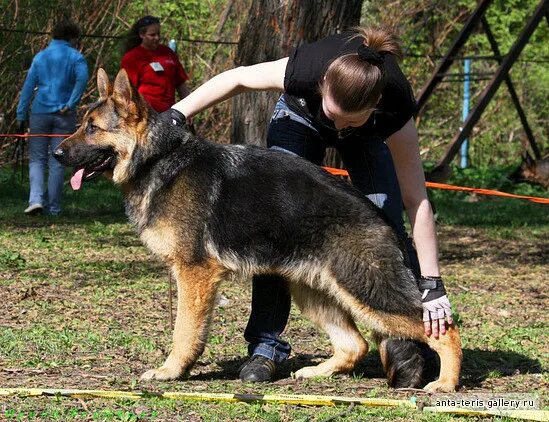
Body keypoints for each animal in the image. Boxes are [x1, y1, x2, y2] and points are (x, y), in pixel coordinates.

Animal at [55, 69, 460, 392]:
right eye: (80, 124)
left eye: (93, 128)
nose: (57, 154)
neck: (158, 159)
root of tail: (378, 214)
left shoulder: (194, 274)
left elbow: (184, 331)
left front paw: (172, 371)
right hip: (311, 291)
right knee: (354, 345)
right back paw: (317, 373)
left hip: (367, 291)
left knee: (444, 329)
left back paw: (445, 383)